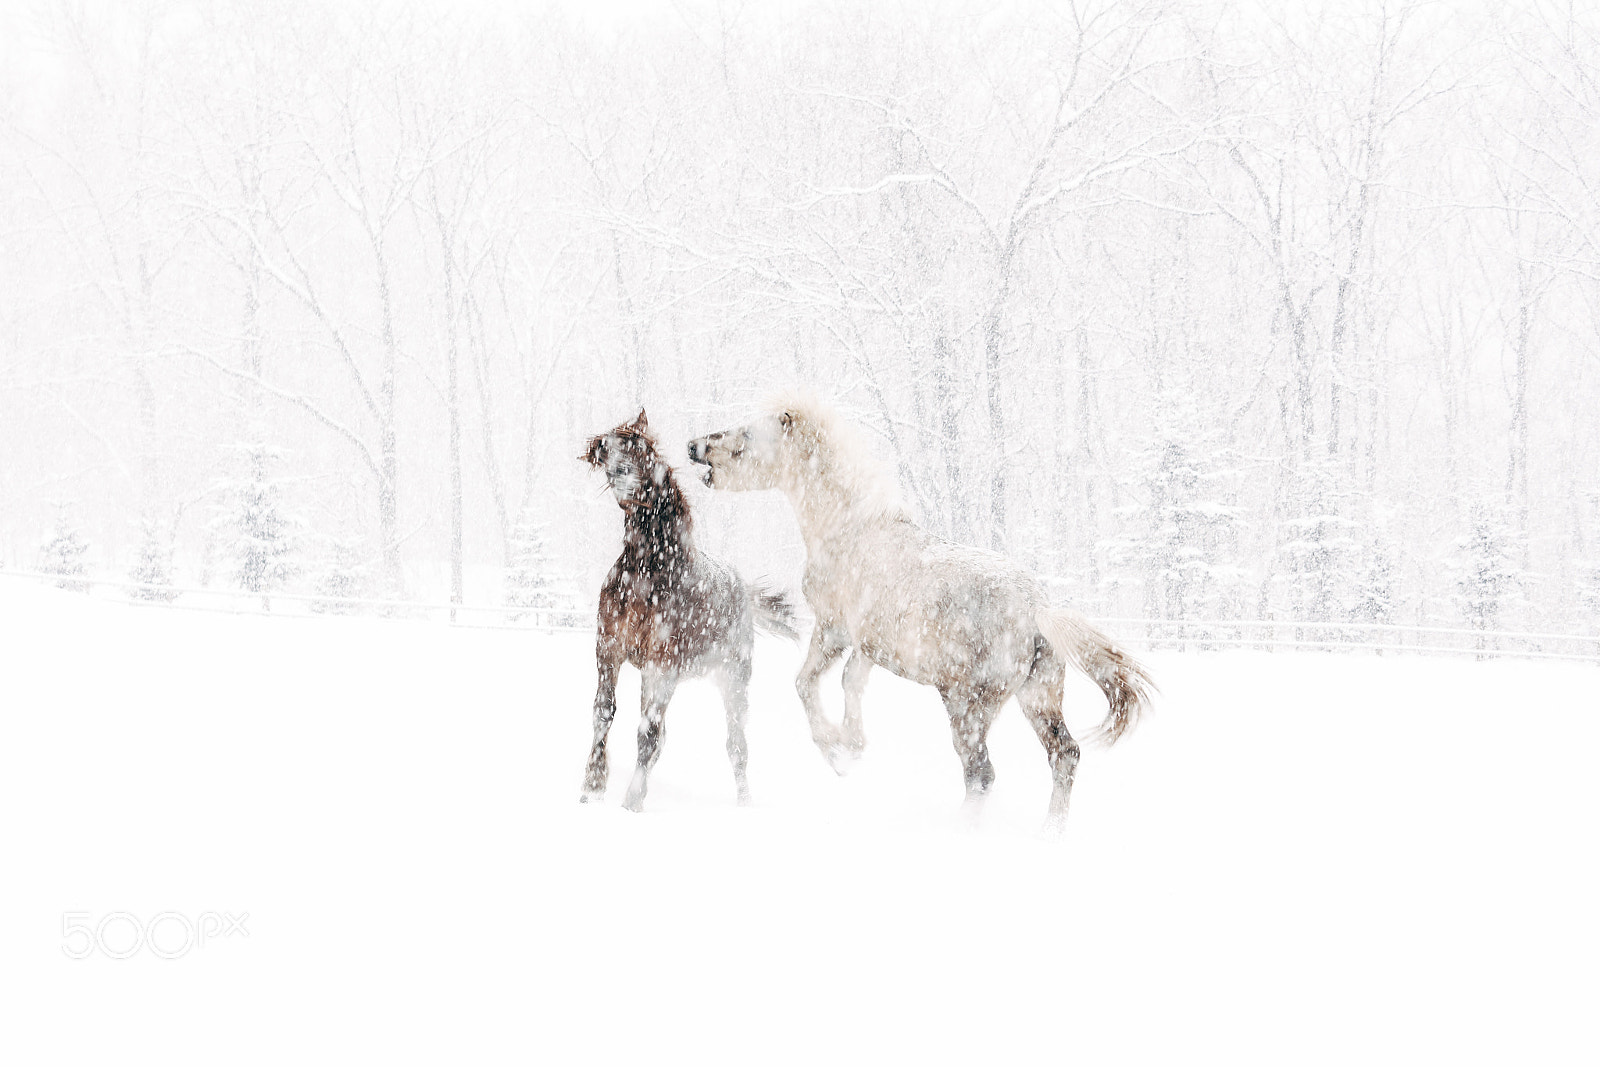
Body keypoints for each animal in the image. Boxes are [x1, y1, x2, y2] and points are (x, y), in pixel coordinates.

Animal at [580, 410, 799, 812]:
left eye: (642, 449)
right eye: (606, 447)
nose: (621, 474)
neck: (645, 572)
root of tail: (742, 589)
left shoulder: (662, 664)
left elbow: (647, 733)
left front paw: (631, 803)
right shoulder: (609, 649)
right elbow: (604, 713)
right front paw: (592, 788)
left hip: (732, 681)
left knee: (736, 747)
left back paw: (745, 803)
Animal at [686, 395, 1154, 830]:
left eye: (747, 434)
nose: (694, 446)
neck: (849, 530)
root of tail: (1037, 609)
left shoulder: (833, 629)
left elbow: (805, 683)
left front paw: (835, 753)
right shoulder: (868, 644)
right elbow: (851, 683)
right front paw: (852, 746)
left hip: (967, 707)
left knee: (981, 775)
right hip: (1038, 697)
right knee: (1065, 756)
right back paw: (1048, 833)